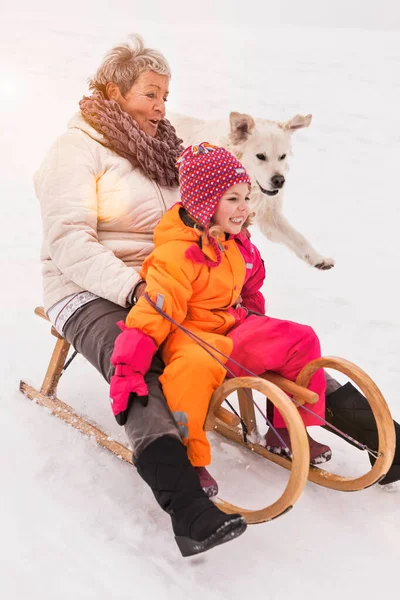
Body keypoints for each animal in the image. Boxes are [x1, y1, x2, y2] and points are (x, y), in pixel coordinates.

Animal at [169, 111, 334, 270]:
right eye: (260, 156)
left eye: (282, 156)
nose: (279, 181)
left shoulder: (269, 215)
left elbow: (298, 237)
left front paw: (318, 259)